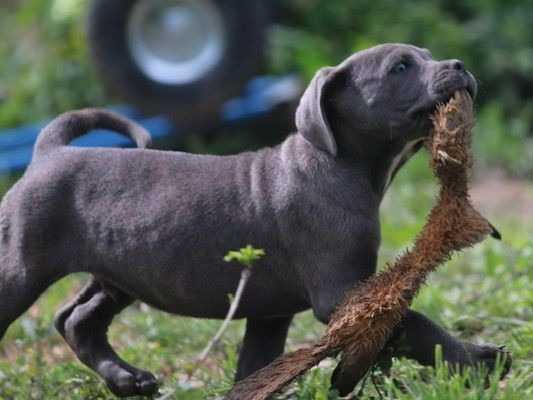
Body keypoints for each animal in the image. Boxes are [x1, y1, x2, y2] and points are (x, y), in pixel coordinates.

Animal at [0, 44, 508, 397]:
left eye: (427, 57)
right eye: (400, 67)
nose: (460, 65)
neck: (341, 165)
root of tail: (48, 152)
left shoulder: (271, 313)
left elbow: (255, 368)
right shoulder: (344, 295)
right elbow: (418, 323)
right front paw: (480, 360)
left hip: (120, 272)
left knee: (77, 320)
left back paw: (128, 380)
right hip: (21, 267)